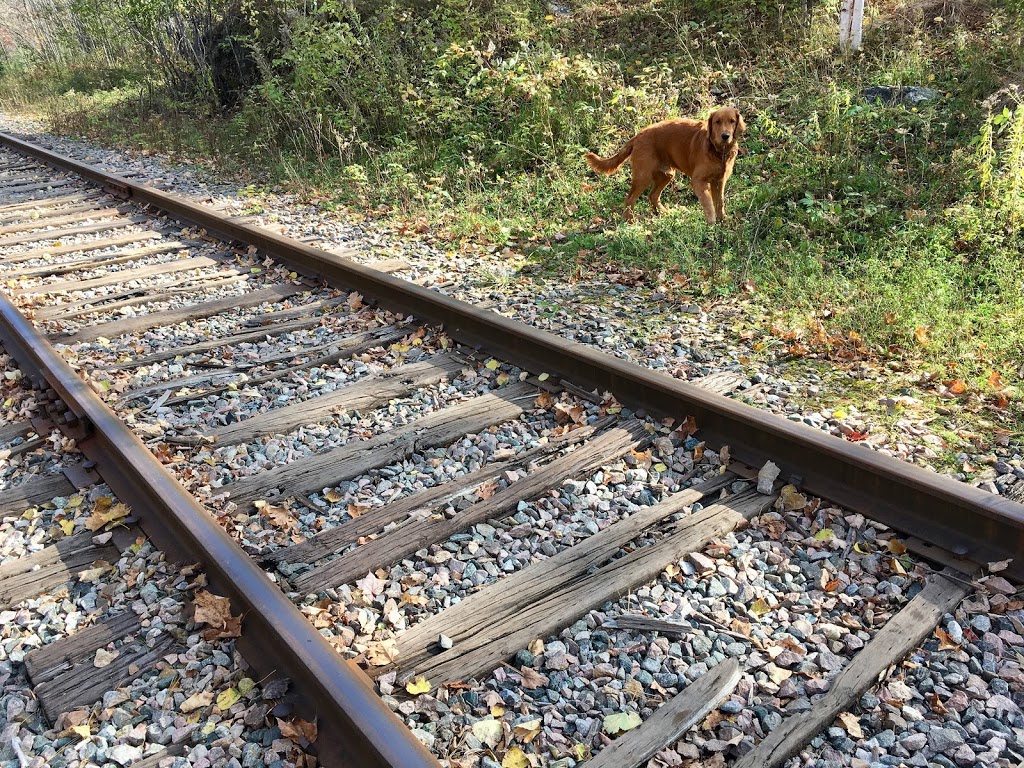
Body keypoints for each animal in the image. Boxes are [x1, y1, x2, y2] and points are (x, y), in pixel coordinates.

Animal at [585, 107, 745, 224]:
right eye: (717, 122)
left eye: (732, 121)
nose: (725, 136)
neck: (719, 152)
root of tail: (637, 136)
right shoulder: (698, 181)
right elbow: (708, 203)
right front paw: (711, 223)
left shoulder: (719, 181)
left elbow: (719, 203)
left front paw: (722, 221)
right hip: (643, 176)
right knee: (630, 199)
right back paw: (630, 221)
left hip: (667, 175)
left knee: (652, 195)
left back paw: (663, 212)